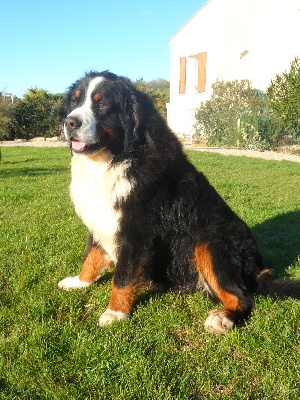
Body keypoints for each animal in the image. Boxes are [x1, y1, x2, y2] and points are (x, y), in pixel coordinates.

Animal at [58, 72, 300, 334]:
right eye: (75, 102)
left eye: (102, 105)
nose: (69, 123)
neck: (115, 158)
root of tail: (258, 268)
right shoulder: (100, 217)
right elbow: (91, 256)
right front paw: (79, 282)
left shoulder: (136, 231)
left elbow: (123, 276)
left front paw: (115, 312)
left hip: (211, 243)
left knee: (243, 297)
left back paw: (222, 318)